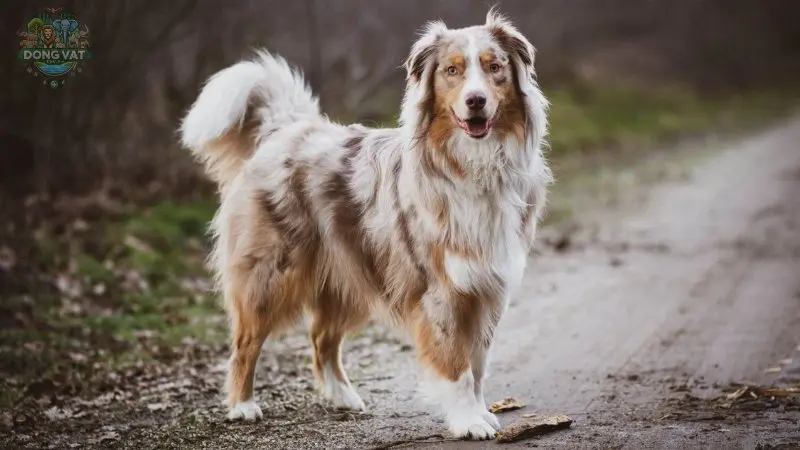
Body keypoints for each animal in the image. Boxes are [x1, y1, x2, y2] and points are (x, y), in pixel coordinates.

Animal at [179, 9, 552, 440]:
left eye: (495, 68)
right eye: (452, 71)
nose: (476, 101)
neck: (474, 165)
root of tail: (284, 129)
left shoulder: (487, 288)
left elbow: (477, 365)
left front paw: (481, 413)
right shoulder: (443, 291)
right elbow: (457, 366)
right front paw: (468, 421)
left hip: (352, 274)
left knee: (321, 337)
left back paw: (342, 396)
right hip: (270, 275)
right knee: (246, 342)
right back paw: (242, 405)